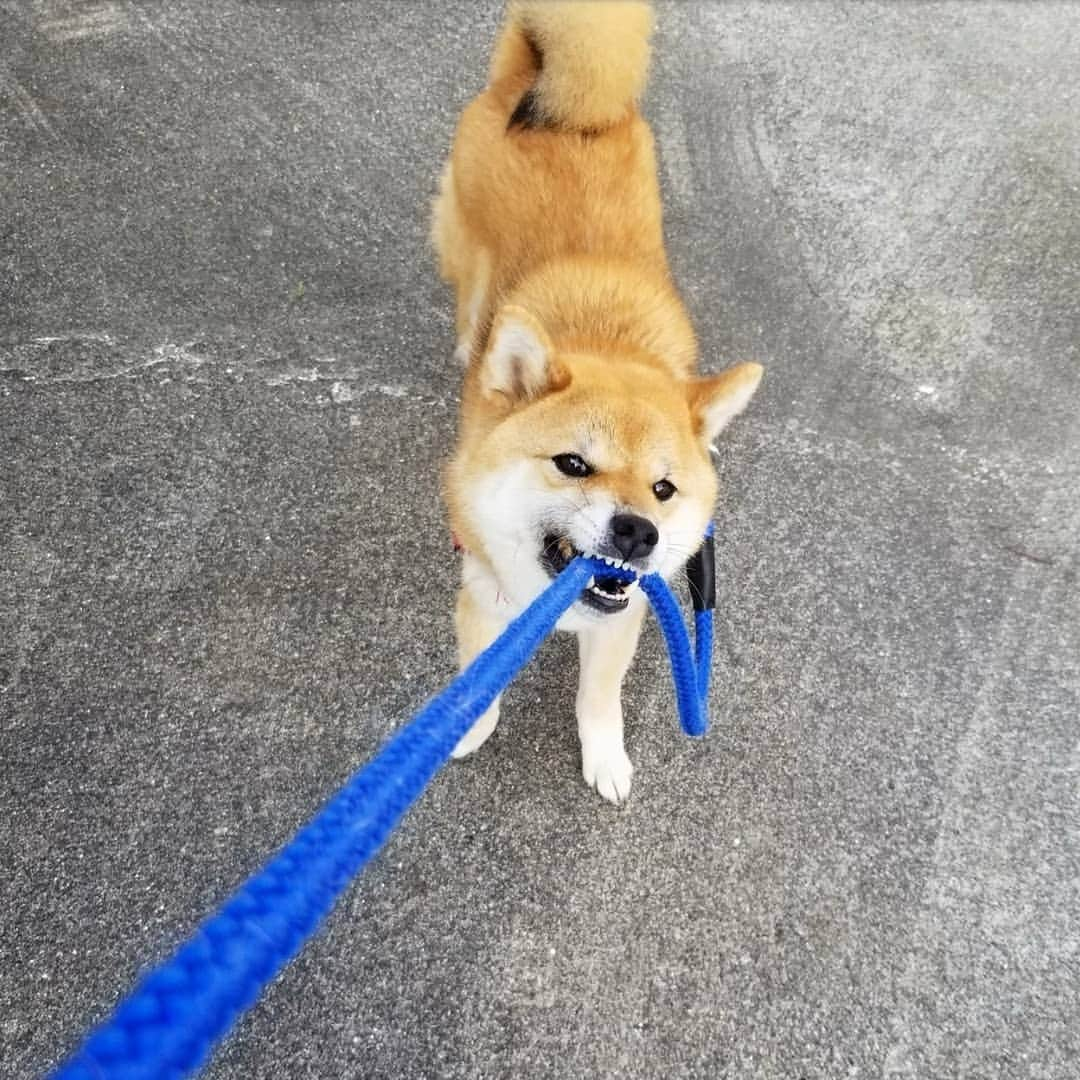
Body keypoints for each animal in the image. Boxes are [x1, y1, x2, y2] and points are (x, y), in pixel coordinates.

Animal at [429, 0, 760, 803]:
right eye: (572, 464)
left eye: (664, 488)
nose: (639, 532)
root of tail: (562, 107)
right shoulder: (483, 595)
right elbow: (479, 679)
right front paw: (469, 728)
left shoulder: (625, 615)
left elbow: (598, 700)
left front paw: (606, 758)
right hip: (465, 254)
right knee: (472, 304)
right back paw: (469, 351)